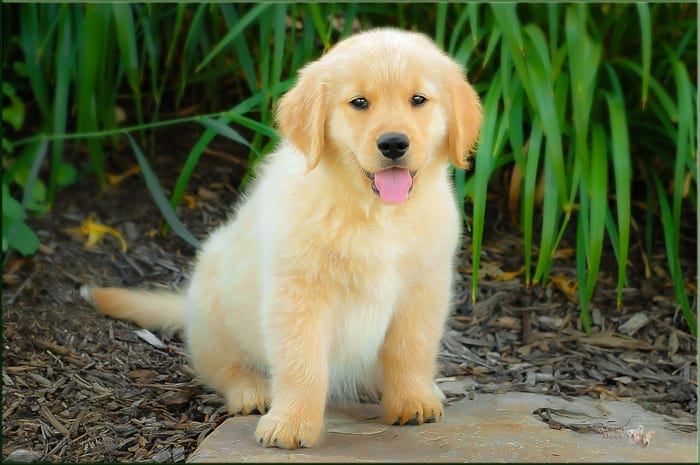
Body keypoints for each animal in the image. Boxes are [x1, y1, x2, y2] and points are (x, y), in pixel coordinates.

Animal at [82, 27, 482, 448]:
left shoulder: (424, 287)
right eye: (359, 102)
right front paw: (291, 423)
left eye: (418, 100)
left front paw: (412, 400)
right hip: (214, 303)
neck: (376, 214)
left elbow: (411, 350)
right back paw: (251, 391)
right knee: (222, 368)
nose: (393, 143)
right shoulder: (298, 292)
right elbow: (301, 362)